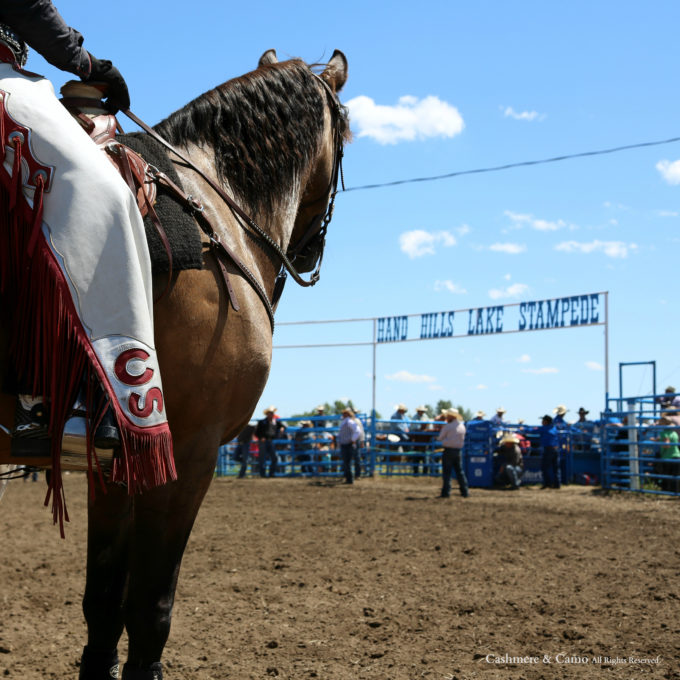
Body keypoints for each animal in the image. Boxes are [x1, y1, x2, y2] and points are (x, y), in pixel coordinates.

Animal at [0, 49, 350, 680]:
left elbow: (104, 597)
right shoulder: (190, 450)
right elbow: (150, 602)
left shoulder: (117, 456)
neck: (217, 213)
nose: (309, 251)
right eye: (348, 134)